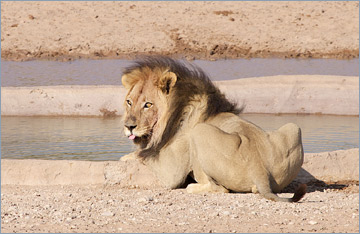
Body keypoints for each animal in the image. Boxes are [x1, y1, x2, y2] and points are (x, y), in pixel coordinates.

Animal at [121, 55, 306, 202]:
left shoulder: (171, 170)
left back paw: (192, 187)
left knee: (220, 188)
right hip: (294, 128)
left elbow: (142, 154)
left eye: (148, 104)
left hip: (199, 132)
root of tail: (259, 169)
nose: (129, 126)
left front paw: (126, 156)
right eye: (129, 102)